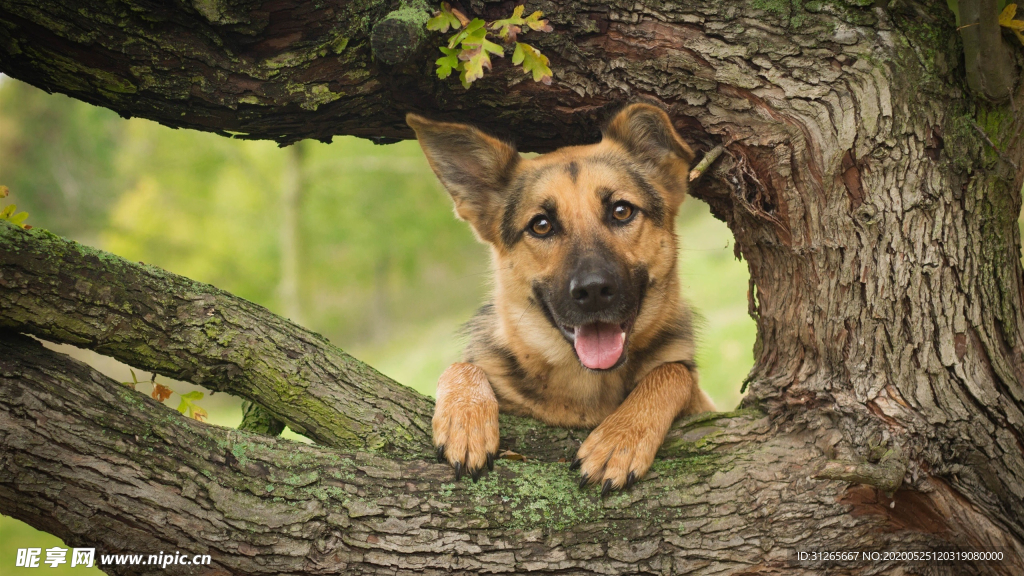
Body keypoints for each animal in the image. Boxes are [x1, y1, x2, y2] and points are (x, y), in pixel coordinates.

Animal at [405, 103, 712, 494]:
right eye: (541, 225)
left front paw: (620, 438)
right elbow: (462, 364)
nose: (593, 291)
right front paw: (466, 420)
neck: (586, 384)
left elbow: (673, 371)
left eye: (622, 211)